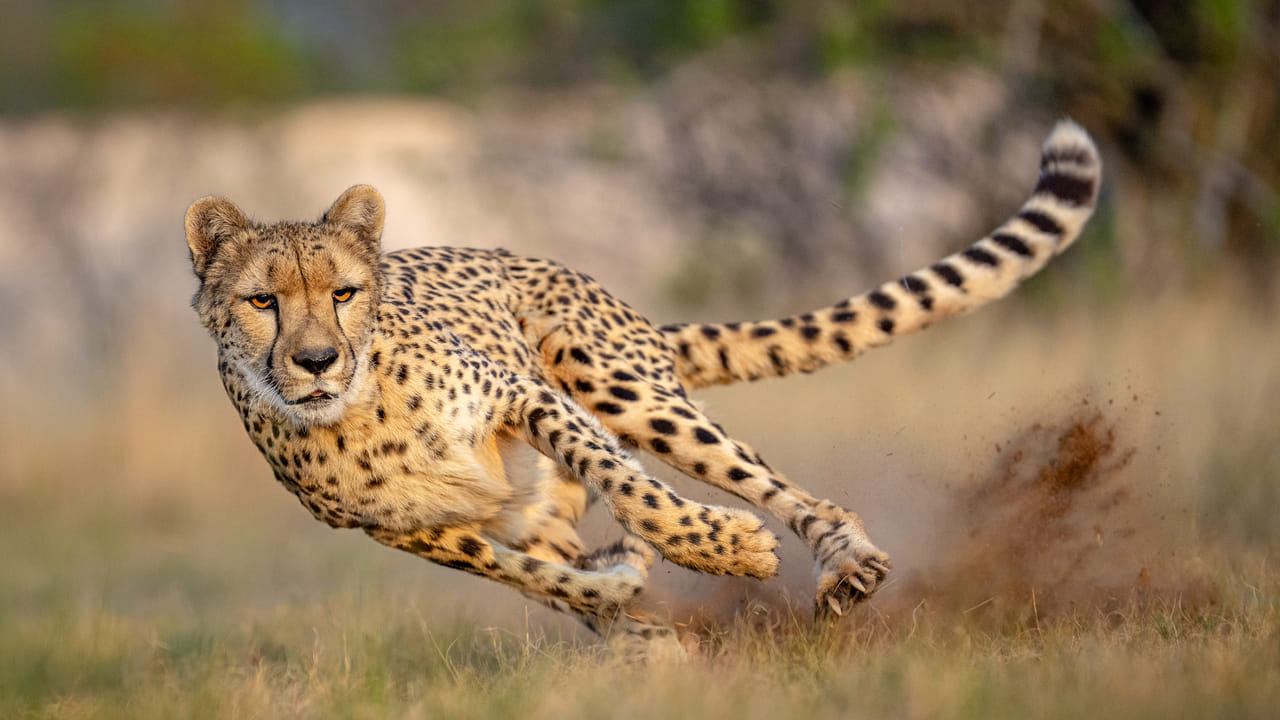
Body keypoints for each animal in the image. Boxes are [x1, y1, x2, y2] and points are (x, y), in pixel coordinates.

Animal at [185, 120, 1100, 650]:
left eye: (343, 293)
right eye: (264, 301)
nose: (316, 361)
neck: (359, 411)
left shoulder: (529, 397)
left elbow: (634, 489)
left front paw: (720, 547)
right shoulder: (416, 533)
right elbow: (538, 577)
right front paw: (624, 598)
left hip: (616, 380)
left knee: (775, 487)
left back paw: (844, 561)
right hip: (536, 492)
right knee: (557, 551)